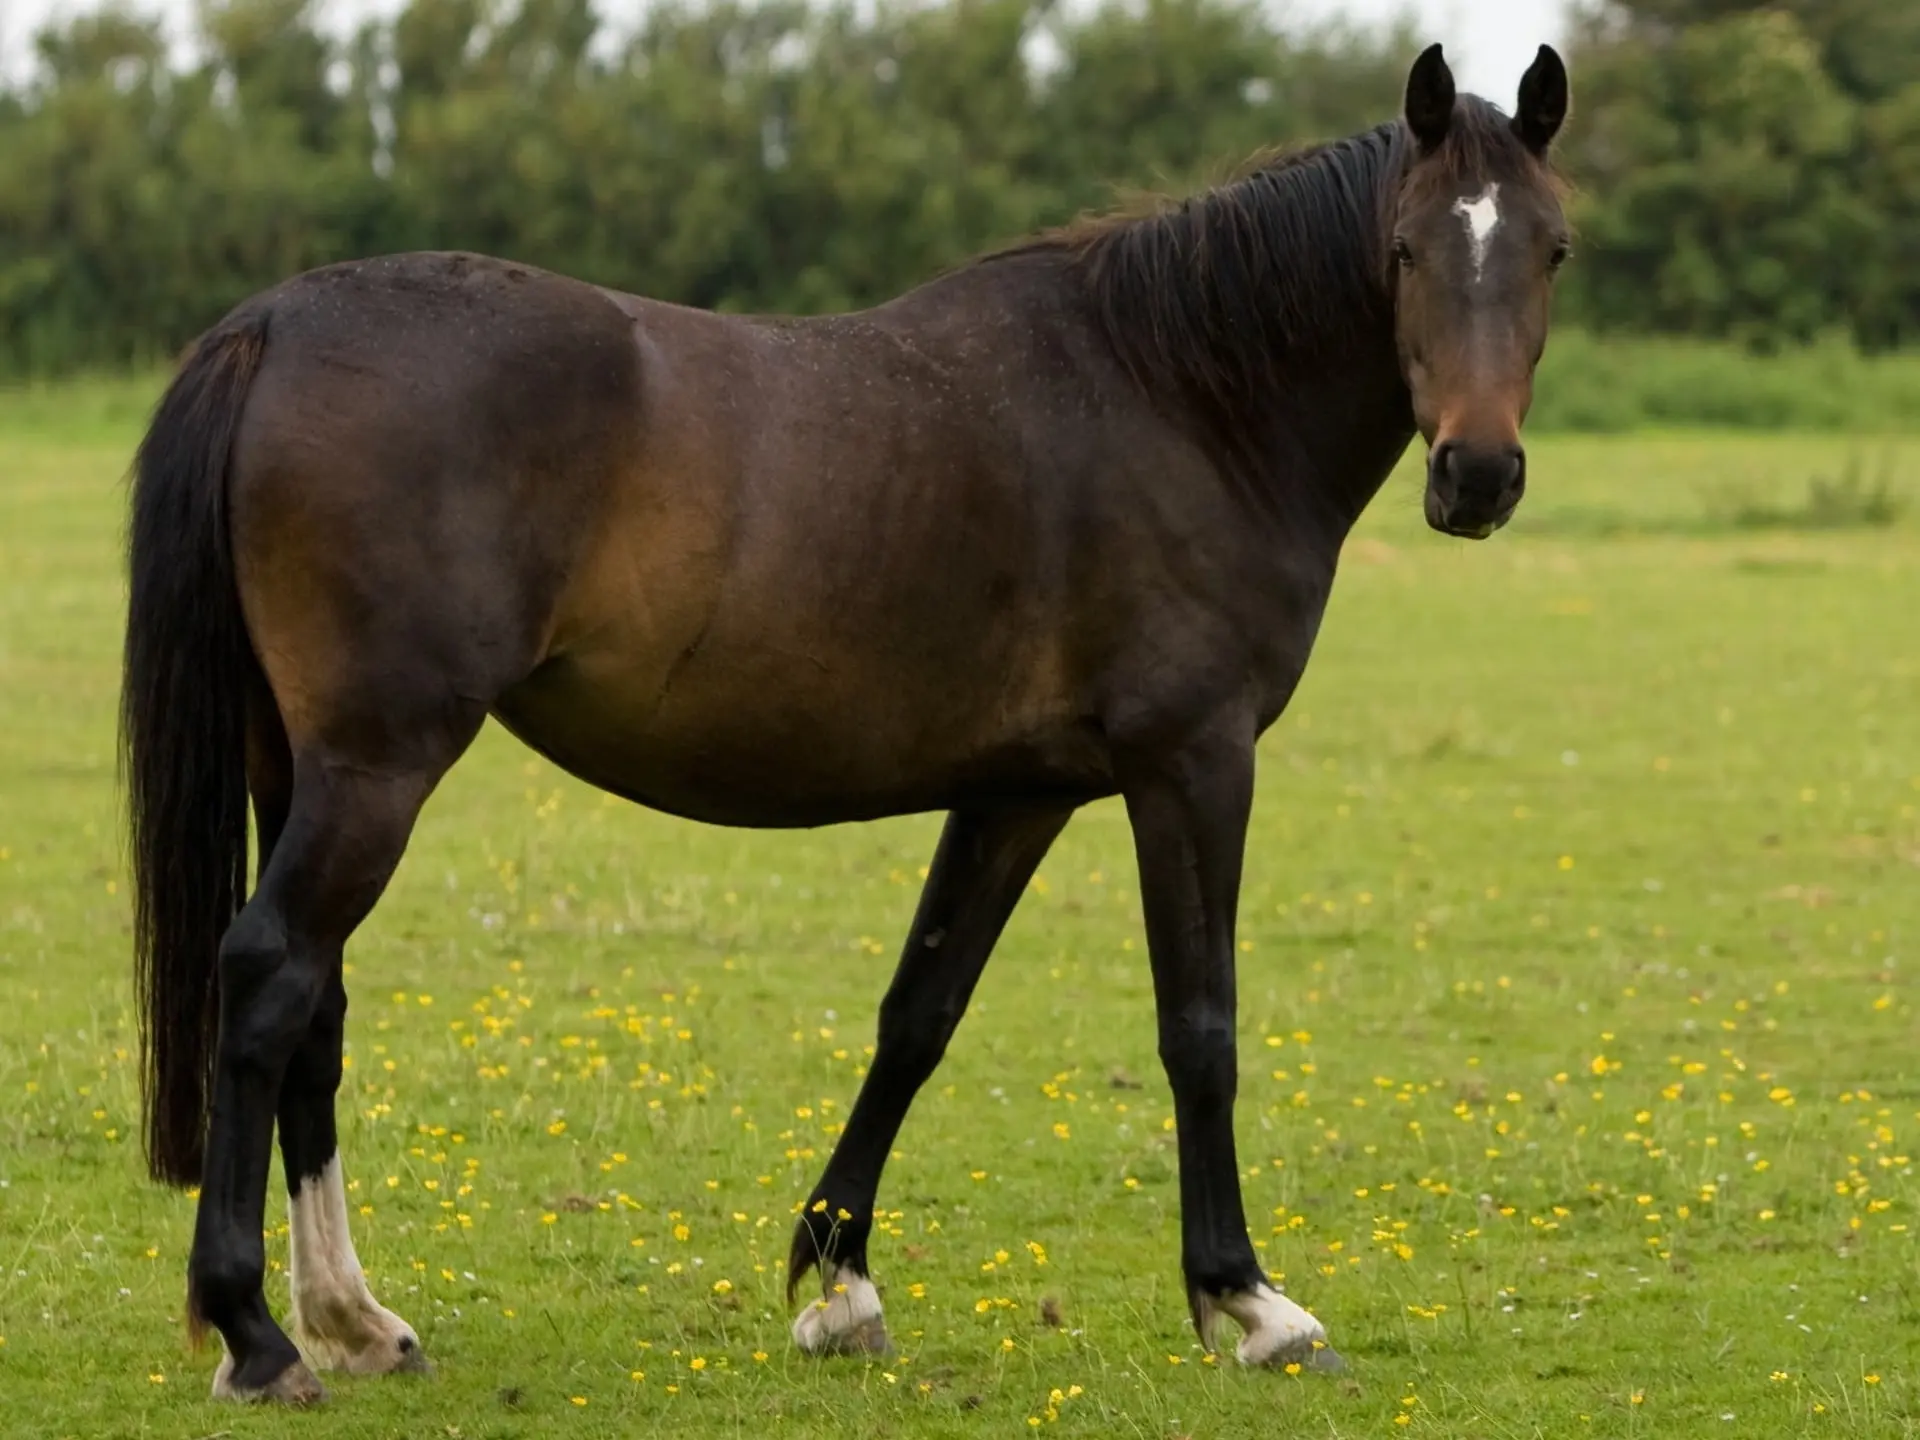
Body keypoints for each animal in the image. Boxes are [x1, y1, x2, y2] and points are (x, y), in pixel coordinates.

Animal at [120, 42, 1566, 1397]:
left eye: (1552, 248)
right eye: (1404, 249)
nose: (1477, 475)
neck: (1185, 397)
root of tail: (276, 325)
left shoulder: (1018, 792)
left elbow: (918, 1014)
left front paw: (839, 1280)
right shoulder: (1192, 764)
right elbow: (1199, 1030)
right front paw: (1249, 1302)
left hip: (303, 768)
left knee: (315, 1005)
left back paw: (355, 1320)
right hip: (377, 768)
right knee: (268, 975)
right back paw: (259, 1335)